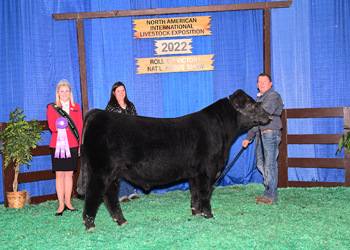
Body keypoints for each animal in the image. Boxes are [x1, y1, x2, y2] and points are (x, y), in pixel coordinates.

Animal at [78, 89, 270, 230]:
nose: (269, 116)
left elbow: (195, 194)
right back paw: (90, 226)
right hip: (100, 171)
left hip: (113, 174)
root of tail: (96, 113)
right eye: (251, 104)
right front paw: (209, 215)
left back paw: (122, 221)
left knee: (110, 196)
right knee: (94, 194)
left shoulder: (194, 174)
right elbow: (205, 194)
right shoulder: (207, 171)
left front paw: (196, 213)